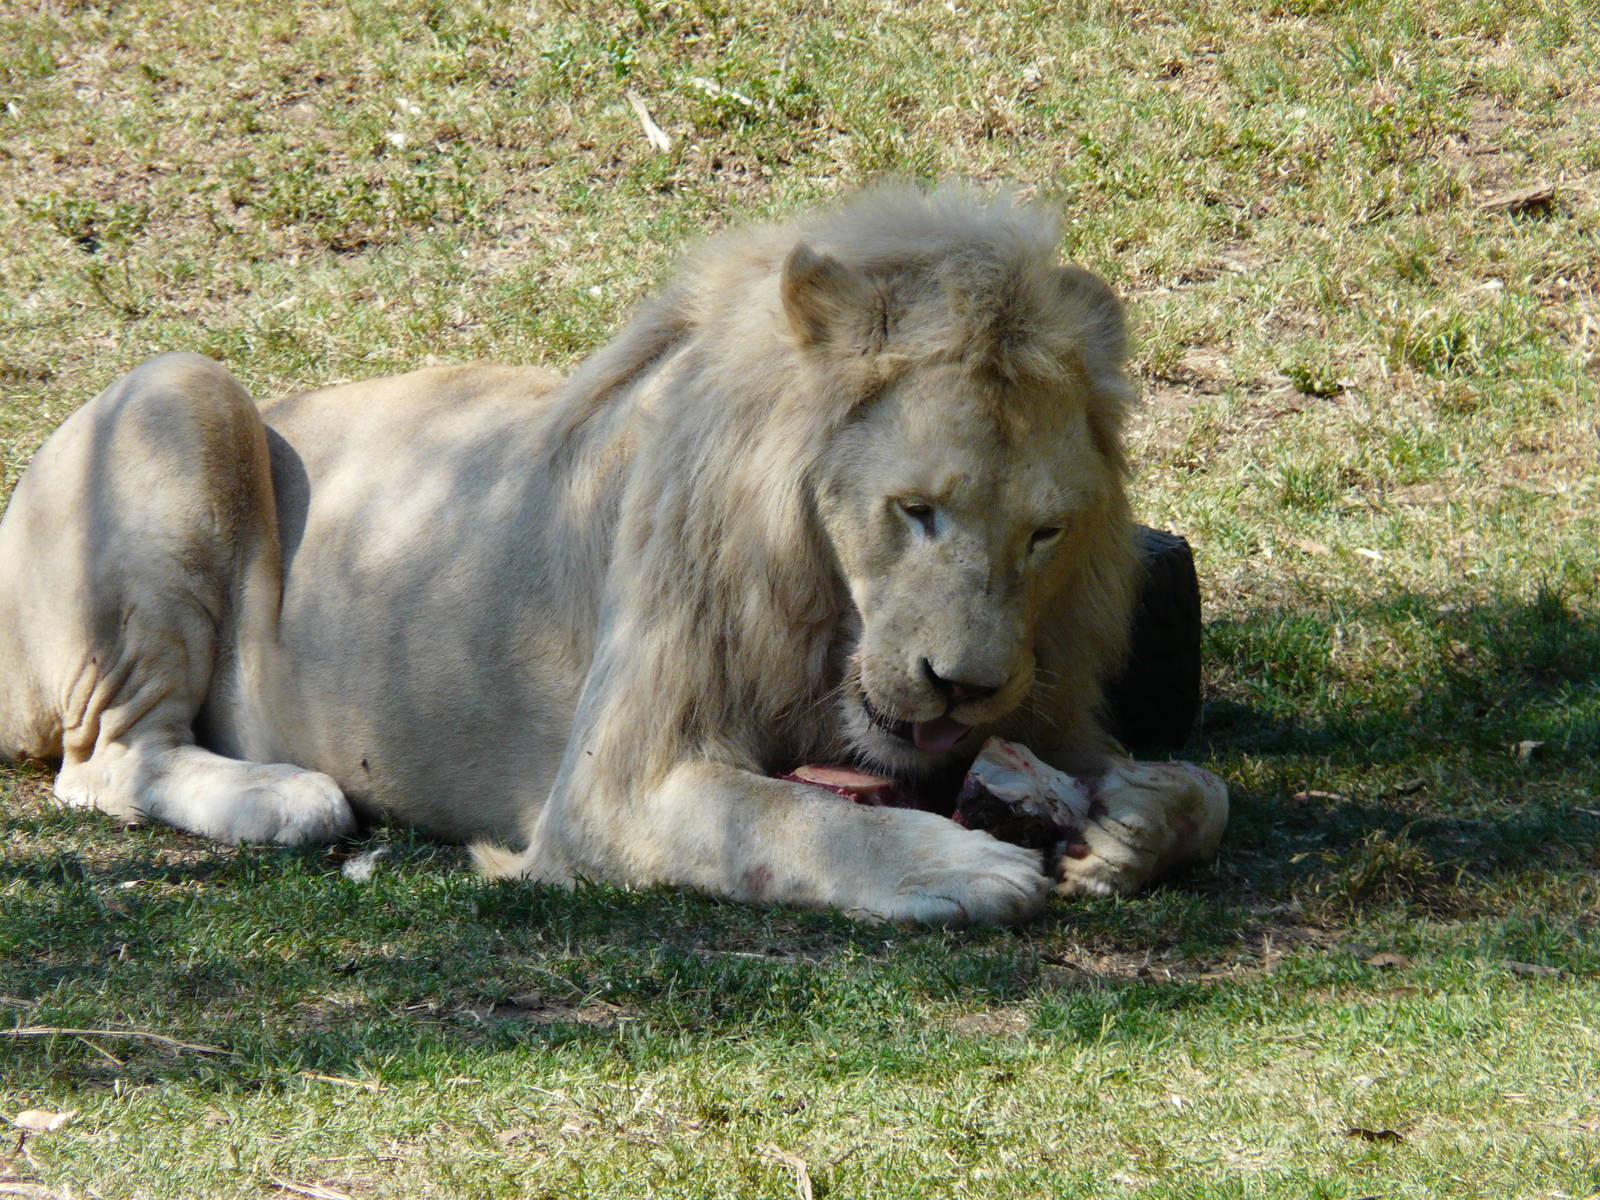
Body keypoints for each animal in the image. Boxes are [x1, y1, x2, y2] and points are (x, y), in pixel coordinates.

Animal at [0, 185, 1225, 925]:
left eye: (1044, 534)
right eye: (915, 510)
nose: (960, 686)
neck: (827, 609)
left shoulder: (1047, 696)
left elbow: (1206, 789)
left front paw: (1126, 826)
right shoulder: (609, 788)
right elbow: (793, 817)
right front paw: (956, 867)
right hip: (182, 387)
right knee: (105, 759)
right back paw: (285, 798)